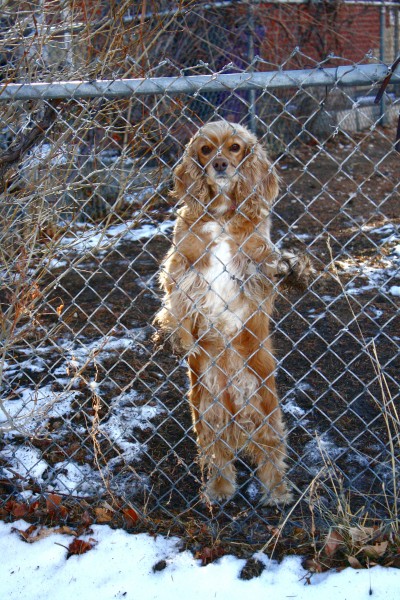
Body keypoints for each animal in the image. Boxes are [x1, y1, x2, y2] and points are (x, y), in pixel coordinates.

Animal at [153, 119, 312, 504]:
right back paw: (219, 489)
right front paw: (173, 335)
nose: (221, 164)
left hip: (266, 409)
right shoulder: (182, 263)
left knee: (270, 450)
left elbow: (271, 268)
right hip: (206, 411)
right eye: (206, 149)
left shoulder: (254, 263)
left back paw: (277, 492)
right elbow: (177, 300)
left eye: (235, 147)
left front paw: (293, 268)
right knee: (219, 452)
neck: (222, 215)